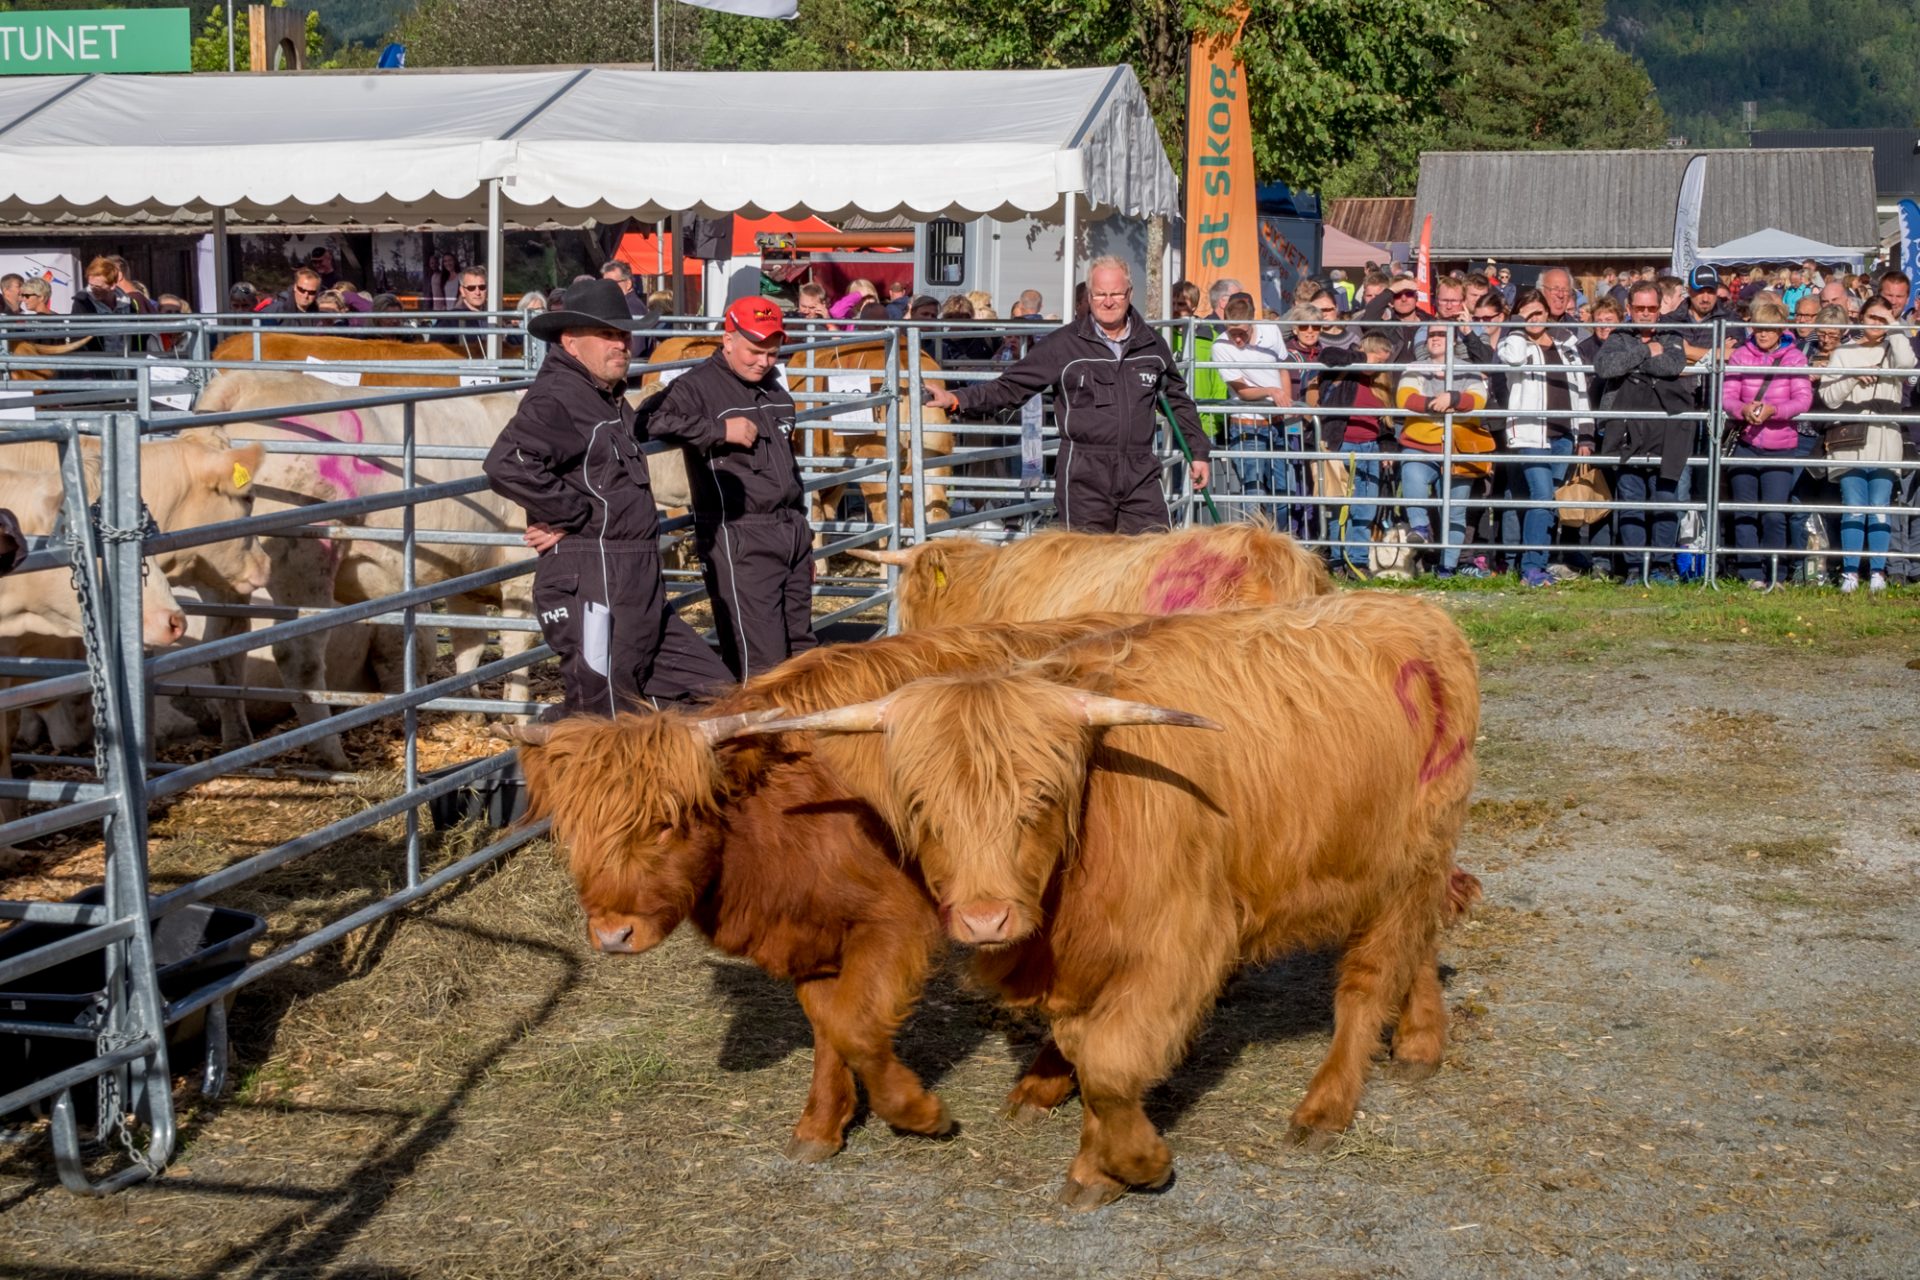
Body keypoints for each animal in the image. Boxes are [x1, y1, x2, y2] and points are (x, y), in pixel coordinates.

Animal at [510, 614, 1136, 1166]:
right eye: (575, 831)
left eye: (666, 822)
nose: (612, 933)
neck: (778, 814)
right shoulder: (811, 936)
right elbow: (830, 1025)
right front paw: (821, 1125)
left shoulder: (894, 924)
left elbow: (857, 1027)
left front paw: (918, 1112)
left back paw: (1041, 1088)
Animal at [725, 594, 1474, 1212]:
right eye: (922, 811)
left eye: (1039, 800)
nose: (984, 919)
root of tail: (1419, 613)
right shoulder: (1081, 959)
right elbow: (1085, 1051)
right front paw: (1097, 1158)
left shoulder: (1182, 941)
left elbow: (1112, 1066)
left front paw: (1134, 1165)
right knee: (1418, 944)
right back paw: (1420, 1042)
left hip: (1407, 859)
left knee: (1369, 981)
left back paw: (1326, 1108)